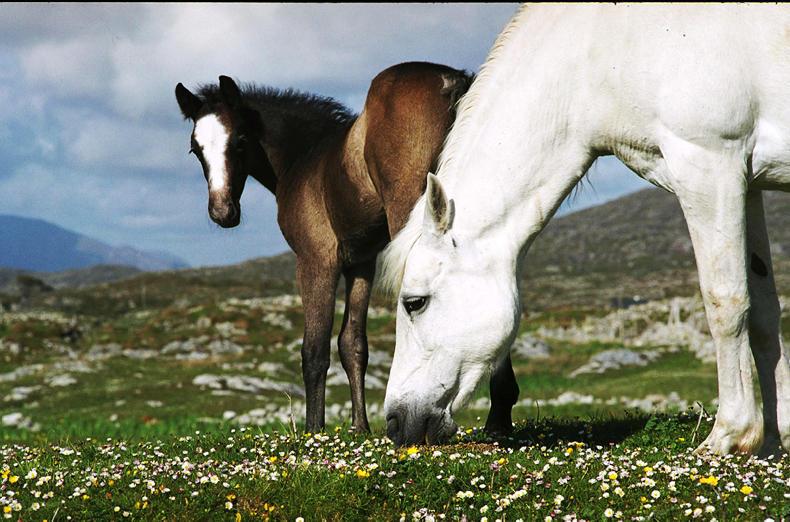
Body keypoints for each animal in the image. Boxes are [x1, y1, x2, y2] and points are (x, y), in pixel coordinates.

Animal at [174, 62, 525, 434]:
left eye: (239, 141)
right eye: (196, 149)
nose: (222, 212)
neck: (303, 159)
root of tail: (449, 81)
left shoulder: (315, 259)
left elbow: (314, 349)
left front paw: (314, 430)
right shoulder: (361, 263)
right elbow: (352, 343)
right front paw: (360, 427)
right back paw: (499, 414)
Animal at [381, 4, 790, 456]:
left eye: (414, 302)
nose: (395, 422)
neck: (603, 50)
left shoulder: (710, 166)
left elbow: (726, 303)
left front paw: (730, 434)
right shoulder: (747, 184)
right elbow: (763, 311)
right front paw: (775, 438)